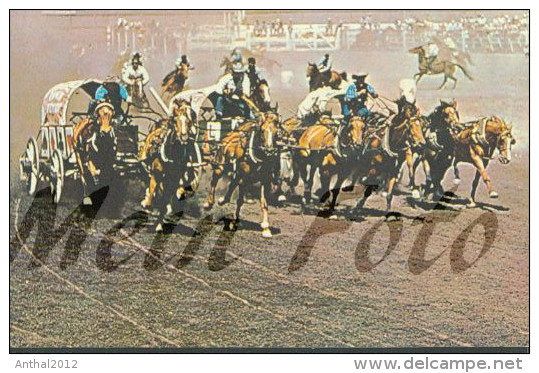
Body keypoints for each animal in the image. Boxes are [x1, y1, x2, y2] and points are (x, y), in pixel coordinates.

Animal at [138, 99, 199, 230]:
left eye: (190, 120)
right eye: (175, 121)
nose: (184, 137)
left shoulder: (173, 180)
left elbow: (165, 200)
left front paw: (159, 223)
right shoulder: (156, 173)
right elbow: (152, 191)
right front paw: (147, 204)